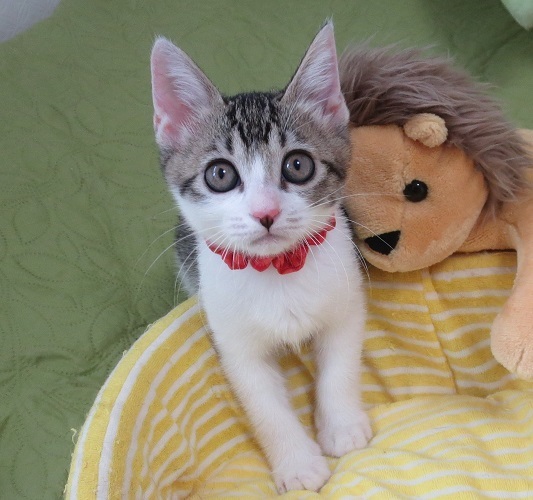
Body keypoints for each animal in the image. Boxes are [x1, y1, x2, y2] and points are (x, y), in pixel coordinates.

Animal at [150, 22, 371, 493]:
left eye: (298, 166)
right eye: (220, 174)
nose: (265, 212)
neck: (278, 270)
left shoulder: (347, 300)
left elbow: (340, 365)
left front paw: (341, 428)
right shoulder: (235, 343)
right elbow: (265, 406)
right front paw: (298, 466)